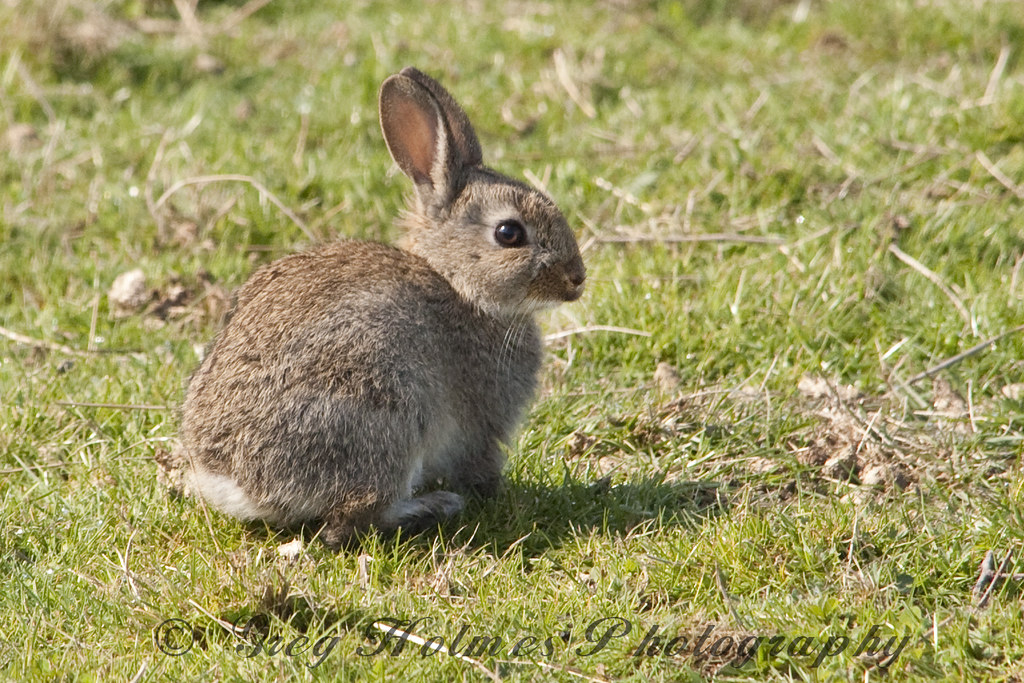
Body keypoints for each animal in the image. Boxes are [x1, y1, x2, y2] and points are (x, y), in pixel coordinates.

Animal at [178, 67, 585, 548]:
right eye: (509, 233)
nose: (577, 278)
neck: (459, 286)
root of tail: (234, 480)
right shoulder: (482, 427)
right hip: (386, 412)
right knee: (348, 522)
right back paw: (432, 506)